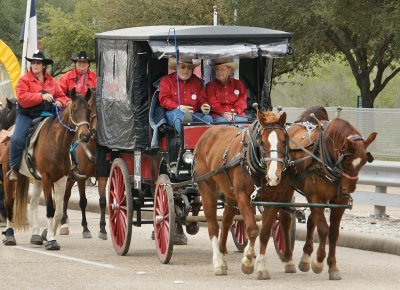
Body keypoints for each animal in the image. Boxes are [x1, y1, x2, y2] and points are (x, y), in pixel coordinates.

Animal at [1, 89, 90, 250]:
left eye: (89, 109)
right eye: (74, 109)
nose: (85, 136)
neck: (56, 143)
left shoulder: (61, 179)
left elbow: (58, 211)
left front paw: (48, 235)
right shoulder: (48, 179)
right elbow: (50, 209)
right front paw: (51, 239)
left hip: (37, 179)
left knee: (33, 203)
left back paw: (36, 235)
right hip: (7, 177)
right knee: (9, 202)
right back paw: (9, 235)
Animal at [59, 93, 108, 240]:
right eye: (91, 108)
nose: (95, 131)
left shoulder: (103, 177)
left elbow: (103, 201)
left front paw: (102, 229)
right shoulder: (81, 178)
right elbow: (83, 202)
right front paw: (85, 228)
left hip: (70, 179)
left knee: (66, 196)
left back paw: (64, 220)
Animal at [194, 110, 288, 278]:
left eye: (283, 141)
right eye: (262, 142)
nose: (273, 176)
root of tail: (208, 132)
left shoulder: (273, 200)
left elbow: (264, 233)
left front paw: (262, 267)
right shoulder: (243, 197)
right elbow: (252, 229)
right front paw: (248, 261)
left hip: (230, 195)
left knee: (226, 222)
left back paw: (222, 255)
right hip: (206, 190)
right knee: (213, 226)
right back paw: (218, 262)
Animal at [276, 107, 378, 280]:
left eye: (364, 161)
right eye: (346, 160)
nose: (348, 189)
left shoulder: (339, 201)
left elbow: (333, 232)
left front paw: (332, 266)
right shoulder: (316, 197)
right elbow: (323, 229)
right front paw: (318, 262)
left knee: (311, 221)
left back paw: (305, 257)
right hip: (286, 189)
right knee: (285, 219)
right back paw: (289, 260)